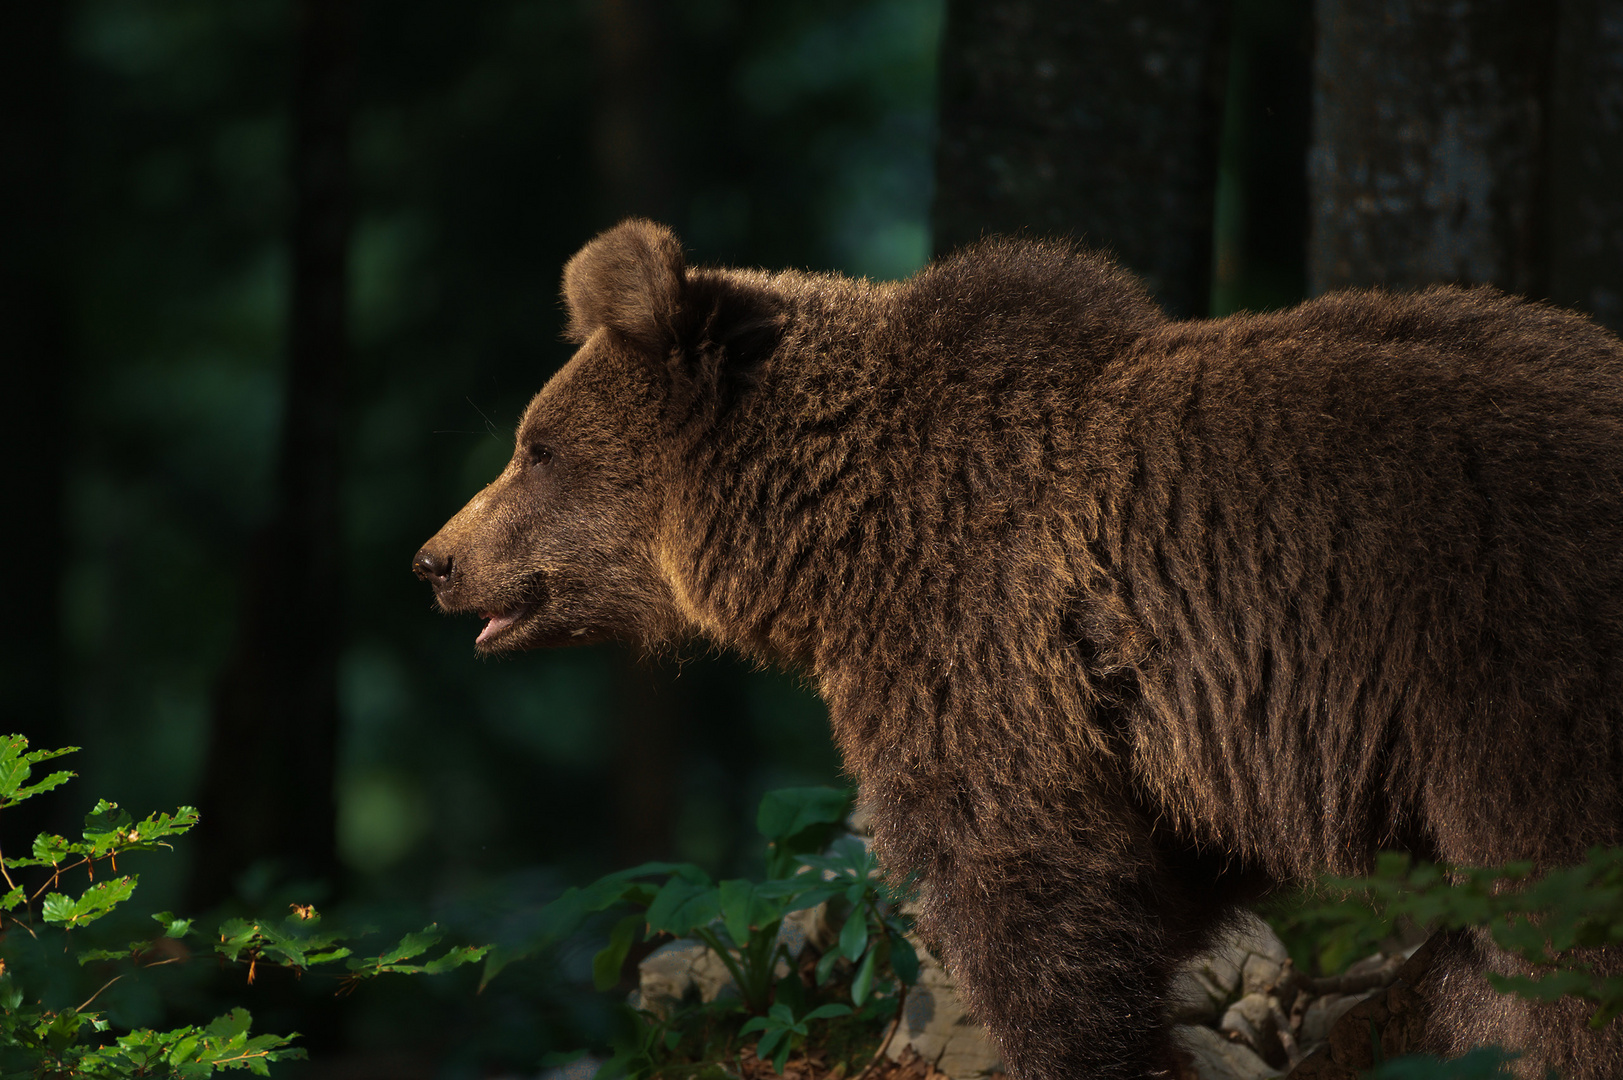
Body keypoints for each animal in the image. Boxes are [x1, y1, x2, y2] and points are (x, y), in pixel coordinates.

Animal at [415, 219, 1623, 1078]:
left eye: (534, 448)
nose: (433, 559)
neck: (835, 536)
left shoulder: (978, 643)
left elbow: (1026, 880)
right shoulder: (1146, 728)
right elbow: (1154, 872)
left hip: (1514, 671)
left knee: (1566, 931)